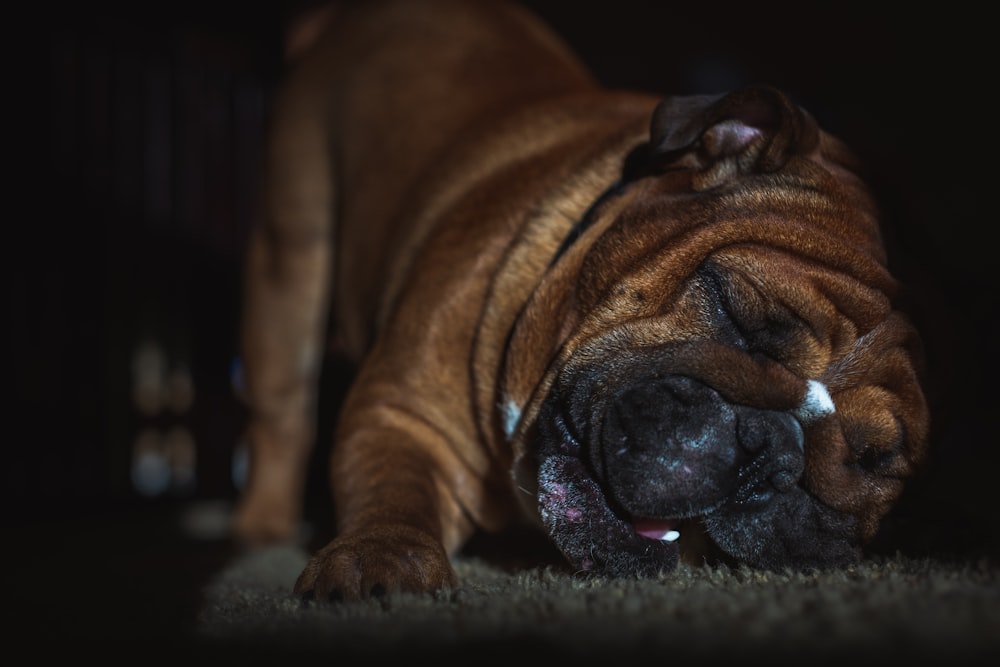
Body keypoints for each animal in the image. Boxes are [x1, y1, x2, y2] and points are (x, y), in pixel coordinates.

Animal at [232, 0, 928, 604]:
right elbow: (392, 491)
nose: (773, 450)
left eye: (874, 462)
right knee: (283, 408)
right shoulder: (401, 413)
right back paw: (262, 525)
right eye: (735, 312)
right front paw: (381, 559)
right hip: (291, 255)